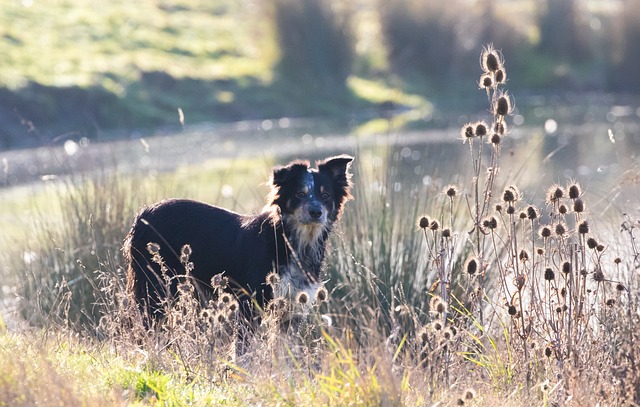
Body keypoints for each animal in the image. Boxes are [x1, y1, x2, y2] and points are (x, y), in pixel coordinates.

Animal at [122, 155, 352, 322]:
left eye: (325, 195)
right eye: (299, 194)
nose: (316, 212)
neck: (292, 241)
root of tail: (142, 214)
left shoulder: (292, 307)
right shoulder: (251, 303)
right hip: (154, 288)